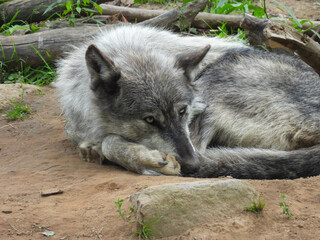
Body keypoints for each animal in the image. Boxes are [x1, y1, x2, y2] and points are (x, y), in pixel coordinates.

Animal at [56, 24, 320, 179]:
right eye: (150, 120)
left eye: (183, 111)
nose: (191, 164)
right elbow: (81, 134)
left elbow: (110, 142)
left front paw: (146, 159)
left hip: (211, 84)